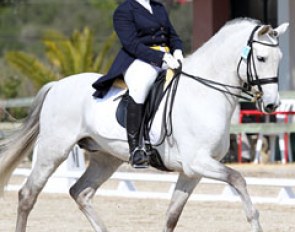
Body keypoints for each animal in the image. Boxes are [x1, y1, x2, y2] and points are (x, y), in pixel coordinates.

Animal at [0, 18, 290, 232]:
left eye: (280, 58)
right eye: (261, 58)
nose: (272, 105)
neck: (204, 93)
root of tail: (57, 85)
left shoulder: (192, 171)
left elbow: (172, 215)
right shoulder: (198, 162)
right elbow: (239, 180)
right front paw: (255, 222)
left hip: (106, 157)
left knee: (80, 192)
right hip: (54, 150)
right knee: (28, 194)